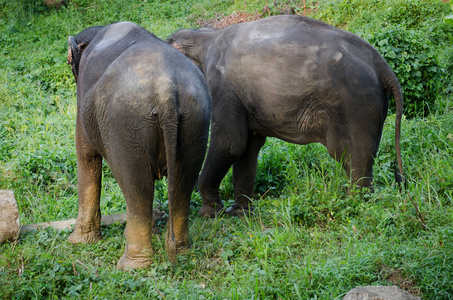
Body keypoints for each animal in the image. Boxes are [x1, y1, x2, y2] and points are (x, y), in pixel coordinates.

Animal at [67, 21, 212, 270]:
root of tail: (166, 90)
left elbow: (86, 154)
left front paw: (77, 242)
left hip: (126, 125)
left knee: (136, 186)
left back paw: (131, 265)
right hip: (196, 121)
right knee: (182, 183)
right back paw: (181, 252)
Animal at [168, 15, 404, 218]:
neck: (204, 37)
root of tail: (381, 65)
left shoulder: (222, 87)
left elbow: (230, 143)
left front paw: (210, 214)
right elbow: (247, 148)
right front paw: (239, 213)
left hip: (355, 105)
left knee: (352, 157)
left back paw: (355, 204)